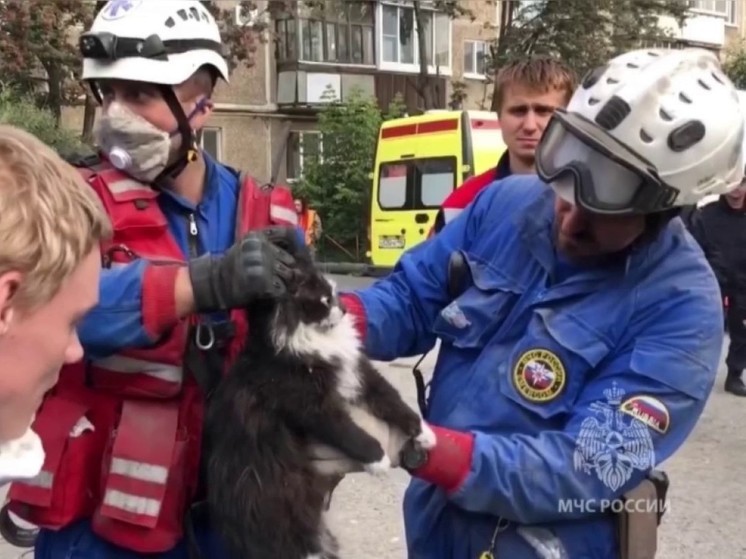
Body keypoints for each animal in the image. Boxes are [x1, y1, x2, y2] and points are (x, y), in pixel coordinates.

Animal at [203, 256, 436, 556]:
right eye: (325, 299)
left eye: (335, 293)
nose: (346, 308)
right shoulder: (311, 405)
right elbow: (349, 432)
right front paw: (379, 459)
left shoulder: (361, 374)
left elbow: (393, 401)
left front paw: (424, 433)